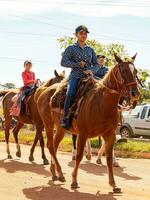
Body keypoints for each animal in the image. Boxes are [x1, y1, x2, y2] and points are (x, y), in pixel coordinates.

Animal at [37, 54, 140, 193]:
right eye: (123, 71)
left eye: (135, 71)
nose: (135, 93)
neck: (102, 103)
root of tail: (44, 92)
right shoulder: (83, 133)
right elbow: (79, 155)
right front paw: (74, 181)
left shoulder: (110, 134)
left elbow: (108, 158)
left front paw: (114, 184)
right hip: (48, 124)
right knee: (51, 146)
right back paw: (60, 173)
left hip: (60, 128)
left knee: (54, 145)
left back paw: (55, 173)